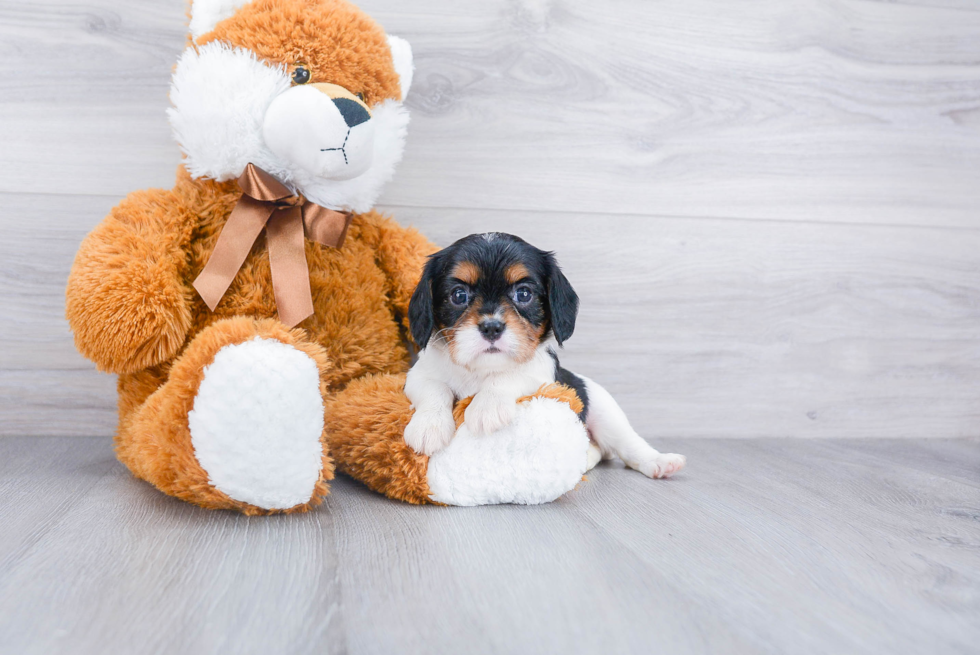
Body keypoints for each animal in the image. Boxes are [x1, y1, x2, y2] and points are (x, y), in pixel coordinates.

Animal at [402, 233, 684, 480]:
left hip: (606, 413)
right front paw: (429, 426)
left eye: (524, 294)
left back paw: (660, 462)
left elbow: (509, 376)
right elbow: (435, 389)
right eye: (459, 295)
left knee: (629, 445)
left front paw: (487, 406)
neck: (483, 369)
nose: (492, 327)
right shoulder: (417, 376)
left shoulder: (541, 374)